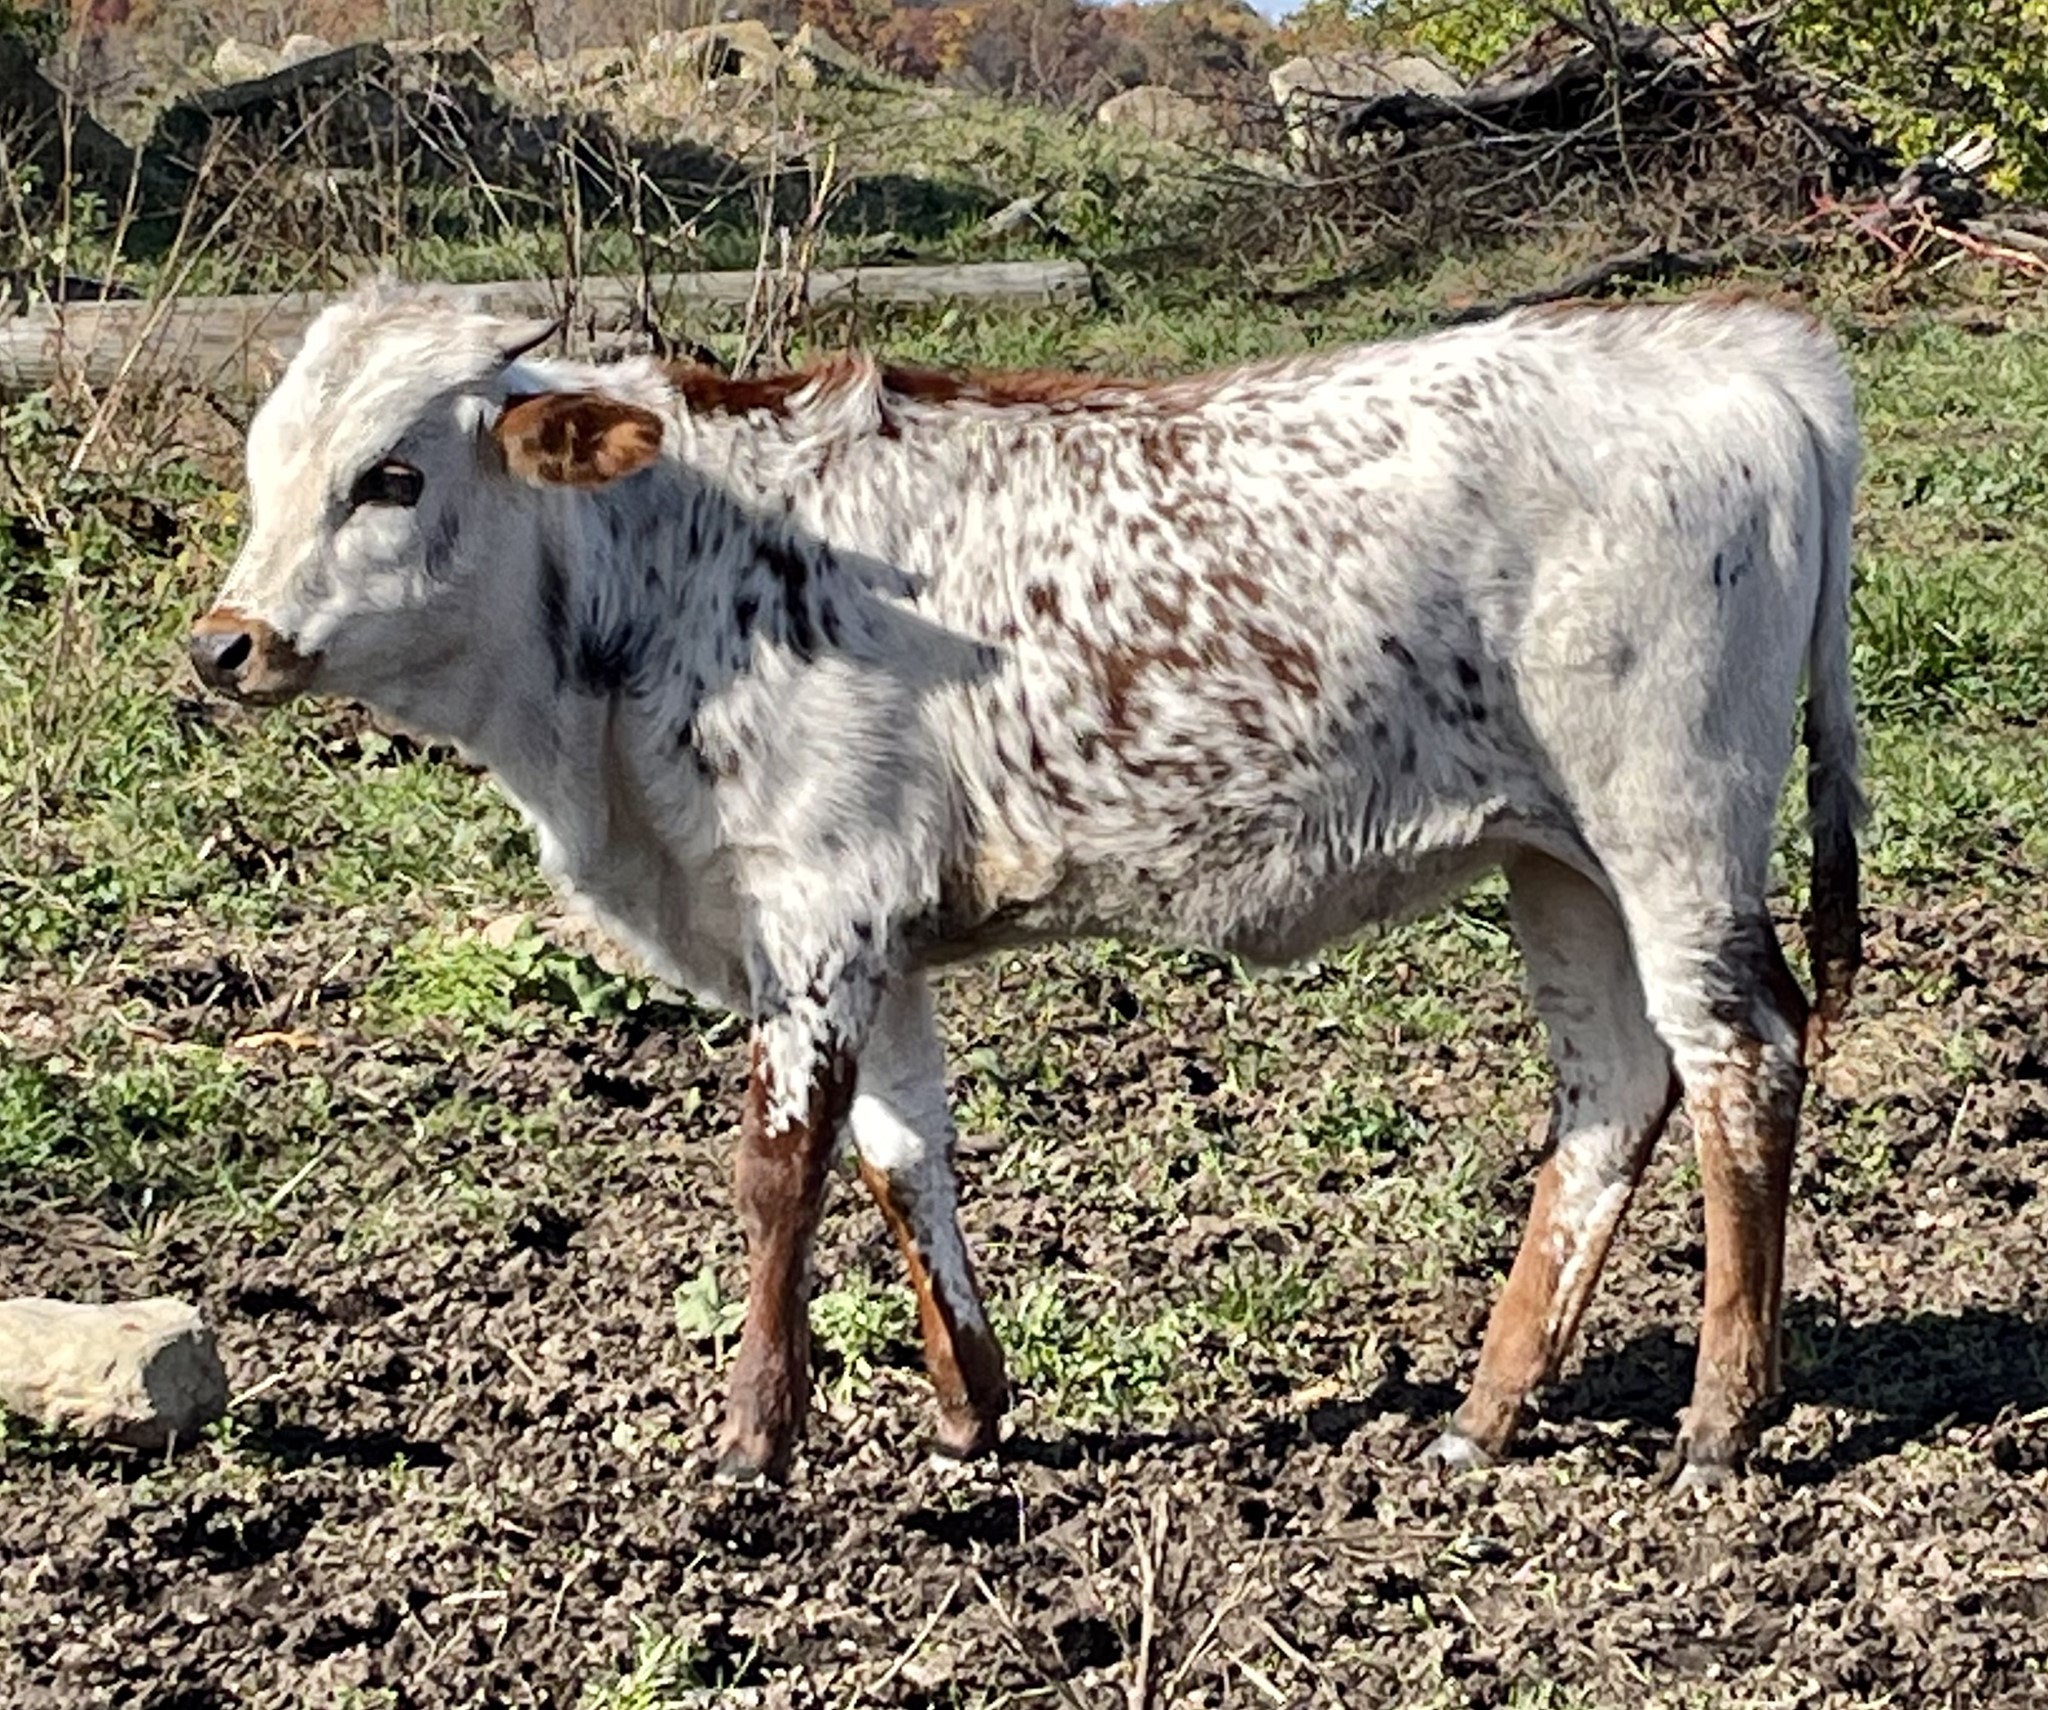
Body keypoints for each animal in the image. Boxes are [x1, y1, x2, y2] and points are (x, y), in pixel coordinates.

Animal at [190, 283, 1863, 1490]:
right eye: (267, 470)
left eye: (392, 474)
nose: (225, 643)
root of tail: (1743, 348)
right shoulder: (869, 925)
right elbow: (898, 1154)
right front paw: (966, 1413)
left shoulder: (816, 908)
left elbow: (779, 1169)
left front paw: (748, 1441)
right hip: (1555, 854)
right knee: (1614, 1086)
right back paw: (1486, 1412)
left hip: (1670, 821)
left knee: (1742, 1059)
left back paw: (1722, 1418)